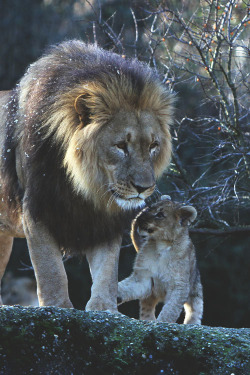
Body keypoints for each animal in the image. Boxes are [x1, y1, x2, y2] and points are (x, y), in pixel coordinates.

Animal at [0, 39, 174, 312]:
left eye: (153, 145)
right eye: (121, 146)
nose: (143, 187)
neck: (84, 185)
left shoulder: (105, 219)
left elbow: (107, 270)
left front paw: (105, 309)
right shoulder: (37, 207)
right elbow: (50, 269)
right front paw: (58, 306)